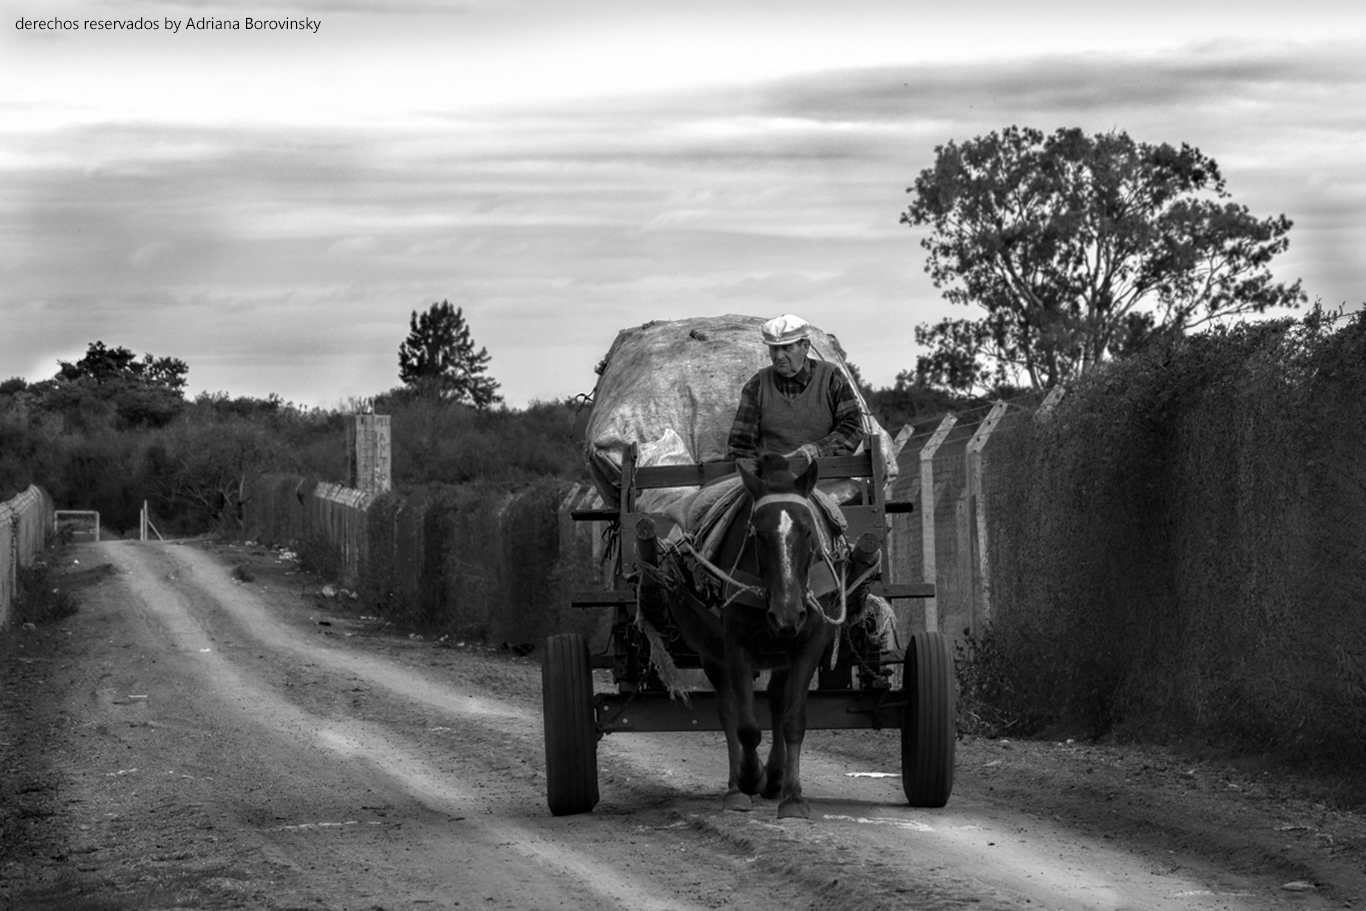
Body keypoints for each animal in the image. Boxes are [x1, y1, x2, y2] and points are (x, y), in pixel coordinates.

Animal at [672, 453, 841, 819]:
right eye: (758, 534)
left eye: (808, 531)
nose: (787, 614)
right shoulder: (736, 647)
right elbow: (747, 726)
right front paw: (750, 776)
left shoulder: (809, 644)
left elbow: (793, 720)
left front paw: (793, 796)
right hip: (711, 654)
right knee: (728, 711)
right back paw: (737, 788)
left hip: (781, 653)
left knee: (776, 700)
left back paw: (776, 777)